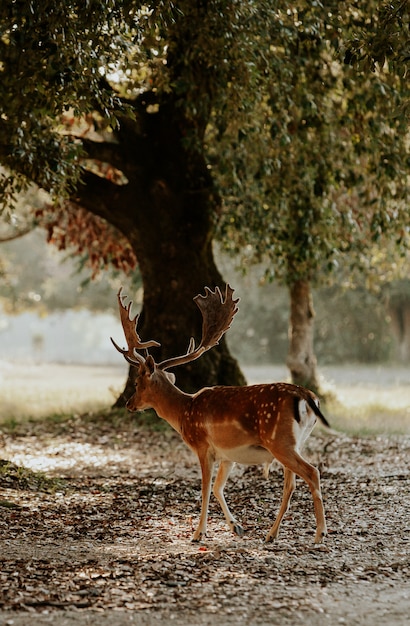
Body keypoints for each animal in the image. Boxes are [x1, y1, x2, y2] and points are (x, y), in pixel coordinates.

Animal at [112, 282, 330, 540]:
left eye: (137, 383)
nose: (129, 404)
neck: (184, 412)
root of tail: (309, 398)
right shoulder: (228, 455)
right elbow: (218, 488)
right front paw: (236, 526)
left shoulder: (203, 446)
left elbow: (205, 488)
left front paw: (198, 533)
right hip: (297, 442)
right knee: (291, 483)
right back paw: (271, 534)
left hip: (280, 441)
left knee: (312, 472)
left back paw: (320, 533)